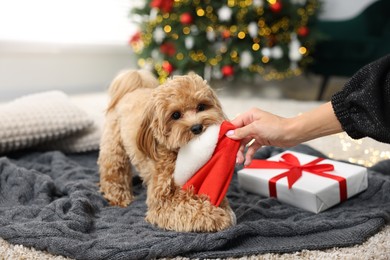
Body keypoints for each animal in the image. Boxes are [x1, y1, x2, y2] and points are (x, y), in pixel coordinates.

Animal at [99, 70, 236, 233]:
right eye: (175, 115)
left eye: (201, 106)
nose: (197, 127)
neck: (177, 153)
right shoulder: (161, 202)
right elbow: (186, 208)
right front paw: (215, 215)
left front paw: (223, 208)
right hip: (114, 146)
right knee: (113, 171)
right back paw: (119, 197)